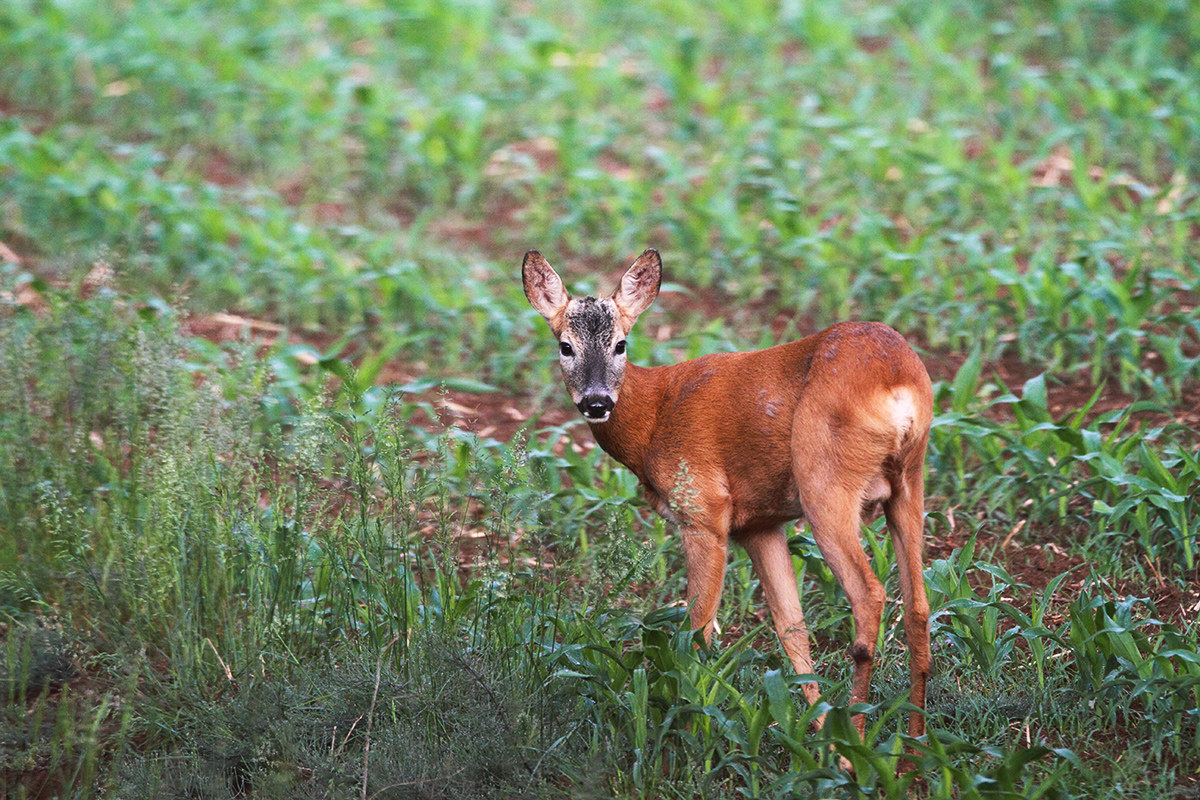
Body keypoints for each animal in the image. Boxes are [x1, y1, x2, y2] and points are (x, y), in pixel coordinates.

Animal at [522, 247, 934, 750]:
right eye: (565, 346)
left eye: (621, 344)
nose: (597, 402)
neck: (653, 420)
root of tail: (896, 385)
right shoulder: (759, 524)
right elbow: (792, 630)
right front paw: (810, 731)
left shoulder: (704, 509)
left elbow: (696, 630)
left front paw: (687, 728)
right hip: (910, 480)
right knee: (917, 606)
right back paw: (910, 750)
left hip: (825, 482)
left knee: (870, 594)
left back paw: (853, 741)